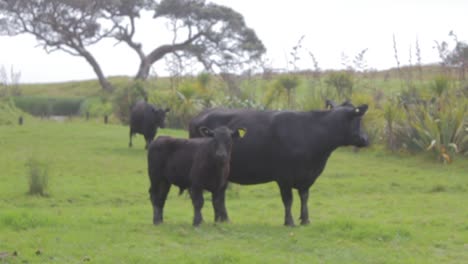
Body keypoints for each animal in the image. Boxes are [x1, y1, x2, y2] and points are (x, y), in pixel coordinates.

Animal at [189, 100, 370, 226]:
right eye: (358, 119)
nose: (366, 139)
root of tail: (201, 114)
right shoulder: (284, 176)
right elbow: (288, 200)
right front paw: (289, 222)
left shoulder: (308, 176)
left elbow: (304, 197)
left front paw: (306, 220)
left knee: (220, 194)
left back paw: (223, 219)